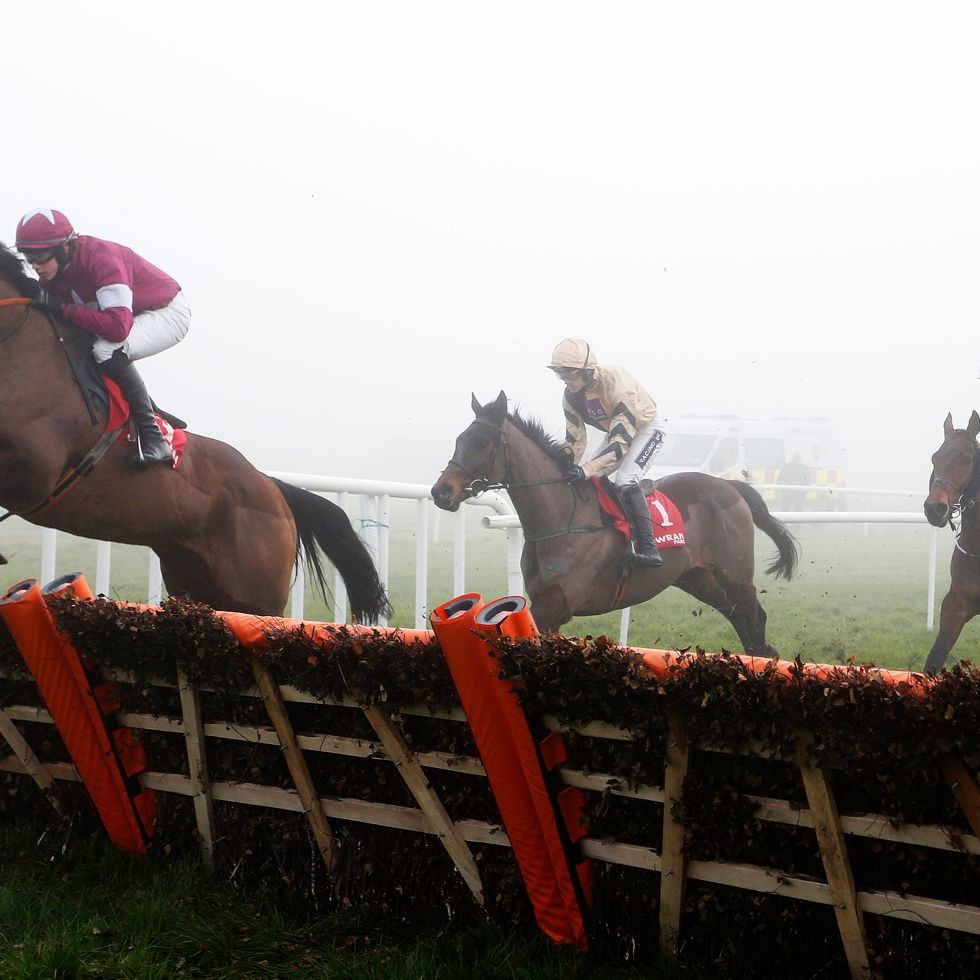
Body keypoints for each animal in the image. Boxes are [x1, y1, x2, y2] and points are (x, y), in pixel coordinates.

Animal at [430, 391, 799, 655]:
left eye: (483, 443)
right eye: (459, 440)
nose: (440, 492)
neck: (562, 518)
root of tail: (729, 485)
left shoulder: (554, 606)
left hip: (735, 576)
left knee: (755, 620)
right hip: (699, 578)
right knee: (743, 622)